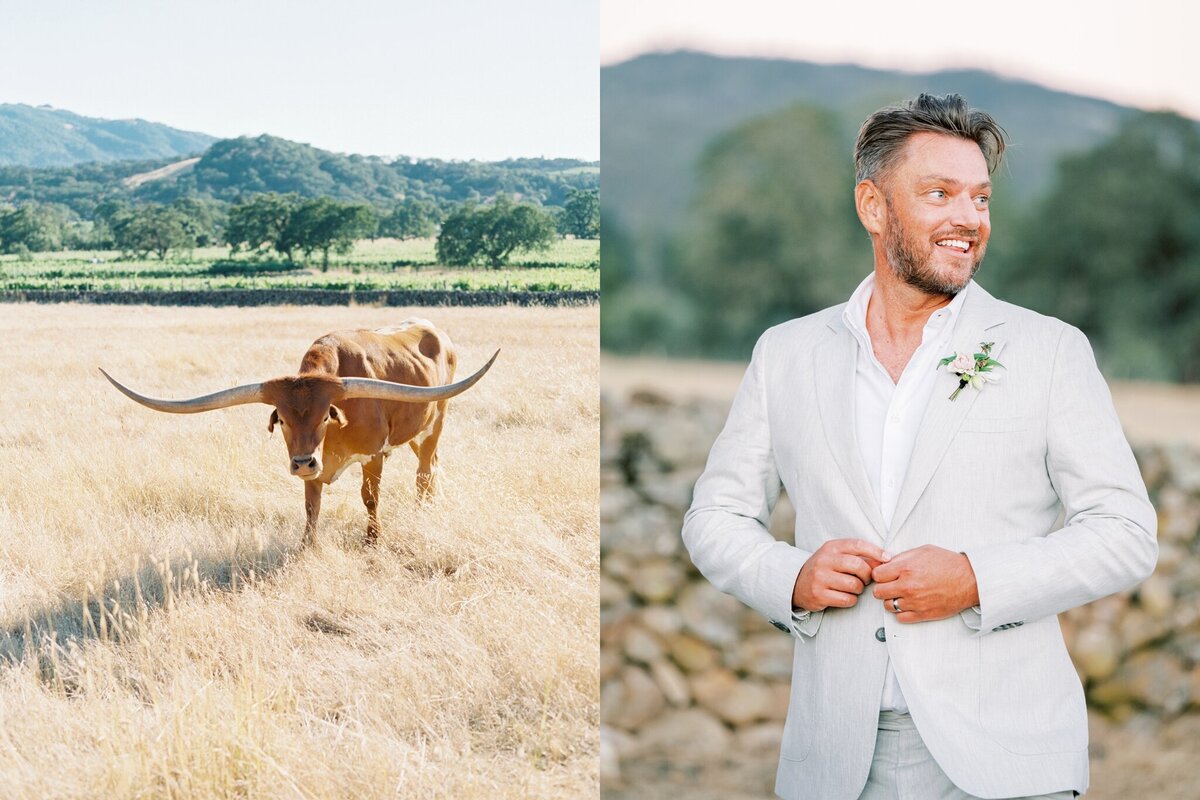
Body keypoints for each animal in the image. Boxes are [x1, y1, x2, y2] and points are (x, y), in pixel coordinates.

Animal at [99, 316, 496, 544]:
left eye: (324, 417)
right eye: (284, 421)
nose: (303, 461)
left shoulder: (373, 455)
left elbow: (370, 499)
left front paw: (373, 541)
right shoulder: (313, 469)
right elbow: (311, 507)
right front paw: (307, 546)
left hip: (437, 420)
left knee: (424, 471)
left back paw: (422, 510)